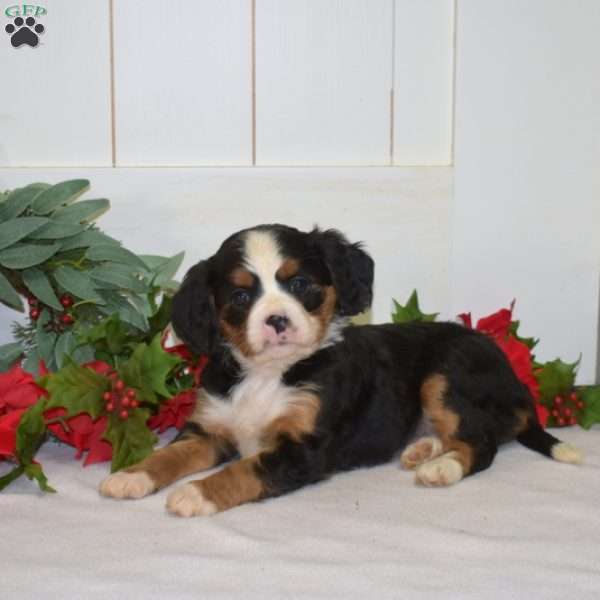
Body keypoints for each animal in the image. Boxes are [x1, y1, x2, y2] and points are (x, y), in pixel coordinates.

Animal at [101, 225, 584, 516]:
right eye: (240, 297)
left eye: (300, 284)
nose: (277, 320)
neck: (268, 374)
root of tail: (518, 386)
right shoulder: (210, 429)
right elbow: (170, 454)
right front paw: (131, 476)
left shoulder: (304, 447)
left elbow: (244, 470)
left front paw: (194, 493)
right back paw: (423, 450)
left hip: (446, 374)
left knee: (481, 445)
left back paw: (440, 469)